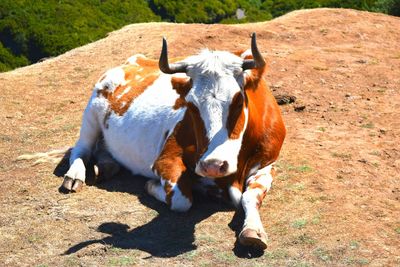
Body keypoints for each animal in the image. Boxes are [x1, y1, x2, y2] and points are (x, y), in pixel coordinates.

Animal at [62, 34, 286, 251]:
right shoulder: (165, 158)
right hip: (90, 114)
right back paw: (74, 176)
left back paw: (106, 166)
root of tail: (134, 60)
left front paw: (253, 230)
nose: (213, 165)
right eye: (191, 105)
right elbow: (181, 199)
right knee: (81, 149)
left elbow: (250, 196)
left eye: (239, 100)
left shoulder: (267, 163)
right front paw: (153, 185)